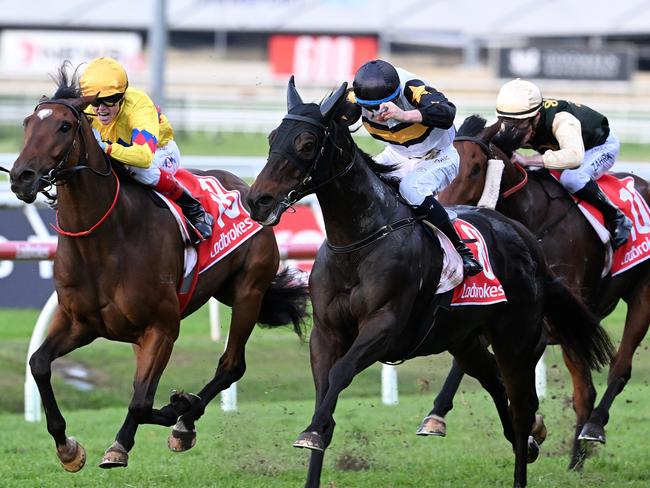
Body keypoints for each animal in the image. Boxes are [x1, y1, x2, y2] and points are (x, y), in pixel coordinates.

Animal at [6, 63, 306, 468]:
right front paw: (67, 447)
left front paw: (159, 420)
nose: (20, 176)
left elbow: (142, 401)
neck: (103, 241)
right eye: (26, 124)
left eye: (64, 126)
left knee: (231, 365)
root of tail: (249, 189)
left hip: (249, 292)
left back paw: (184, 423)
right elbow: (39, 364)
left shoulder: (162, 328)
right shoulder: (79, 323)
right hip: (224, 293)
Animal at [244, 78, 612, 486]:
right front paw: (315, 436)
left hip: (517, 340)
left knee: (521, 406)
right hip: (465, 340)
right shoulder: (326, 332)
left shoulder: (385, 327)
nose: (258, 200)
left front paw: (309, 432)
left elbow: (340, 374)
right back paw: (530, 439)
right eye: (273, 137)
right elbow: (326, 393)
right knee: (498, 388)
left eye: (307, 144)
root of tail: (524, 237)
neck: (359, 243)